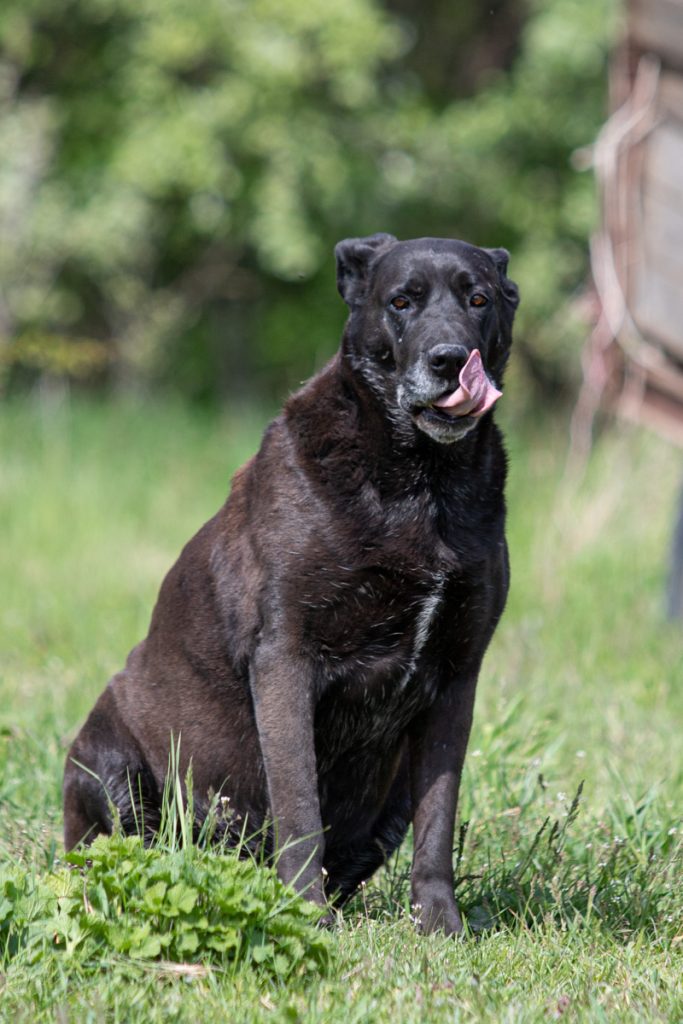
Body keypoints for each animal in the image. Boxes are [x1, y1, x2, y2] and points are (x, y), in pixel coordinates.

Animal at [63, 234, 519, 934]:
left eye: (479, 300)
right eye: (401, 302)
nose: (448, 360)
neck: (420, 483)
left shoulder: (457, 676)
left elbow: (439, 819)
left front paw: (441, 925)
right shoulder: (285, 659)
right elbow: (300, 804)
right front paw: (305, 916)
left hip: (388, 802)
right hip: (109, 766)